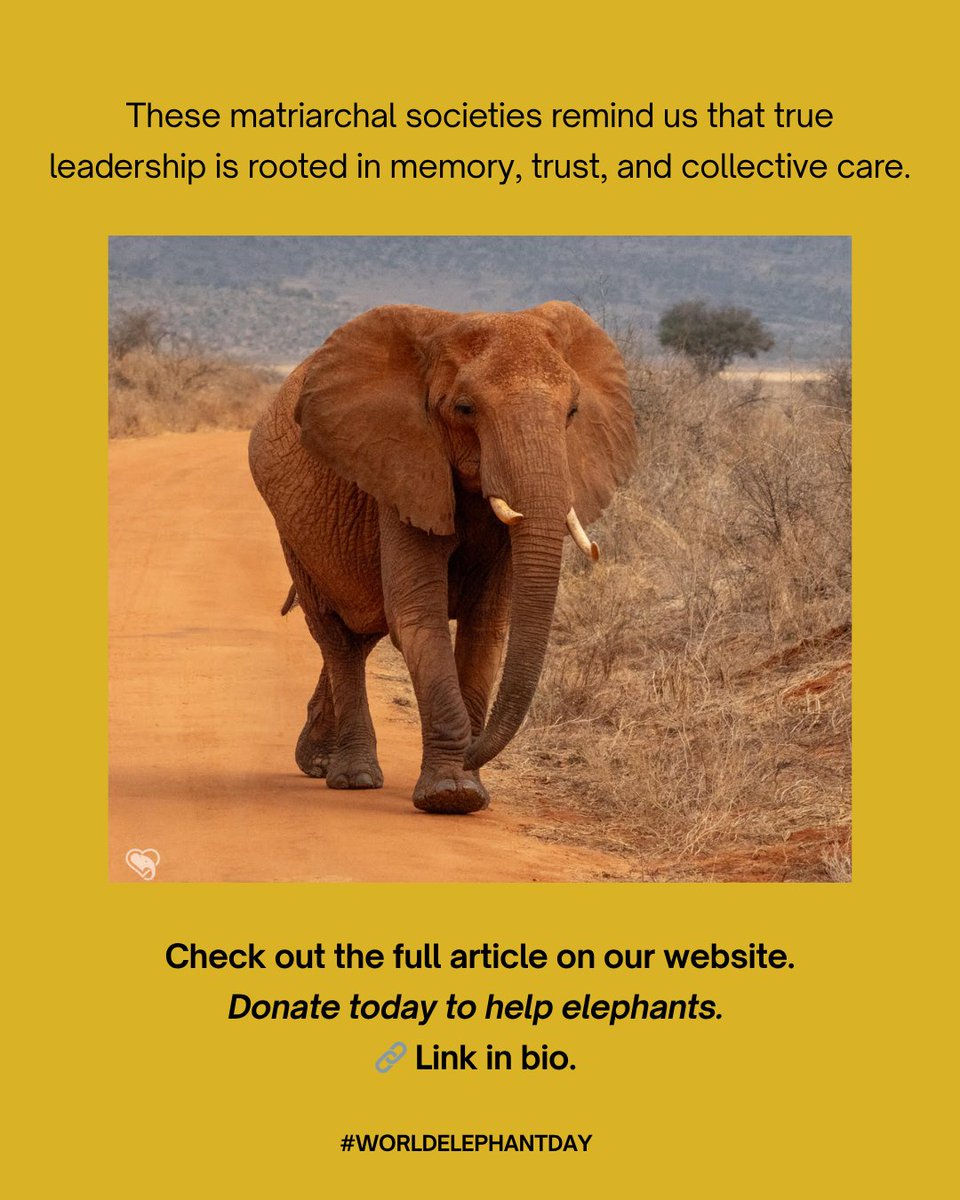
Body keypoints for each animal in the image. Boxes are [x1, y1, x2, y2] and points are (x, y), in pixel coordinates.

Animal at [248, 302, 637, 814]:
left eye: (572, 412)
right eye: (465, 409)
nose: (473, 748)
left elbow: (487, 625)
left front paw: (468, 789)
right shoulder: (402, 468)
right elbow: (418, 616)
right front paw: (451, 794)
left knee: (364, 631)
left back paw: (316, 761)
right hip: (292, 530)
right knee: (337, 635)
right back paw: (352, 777)